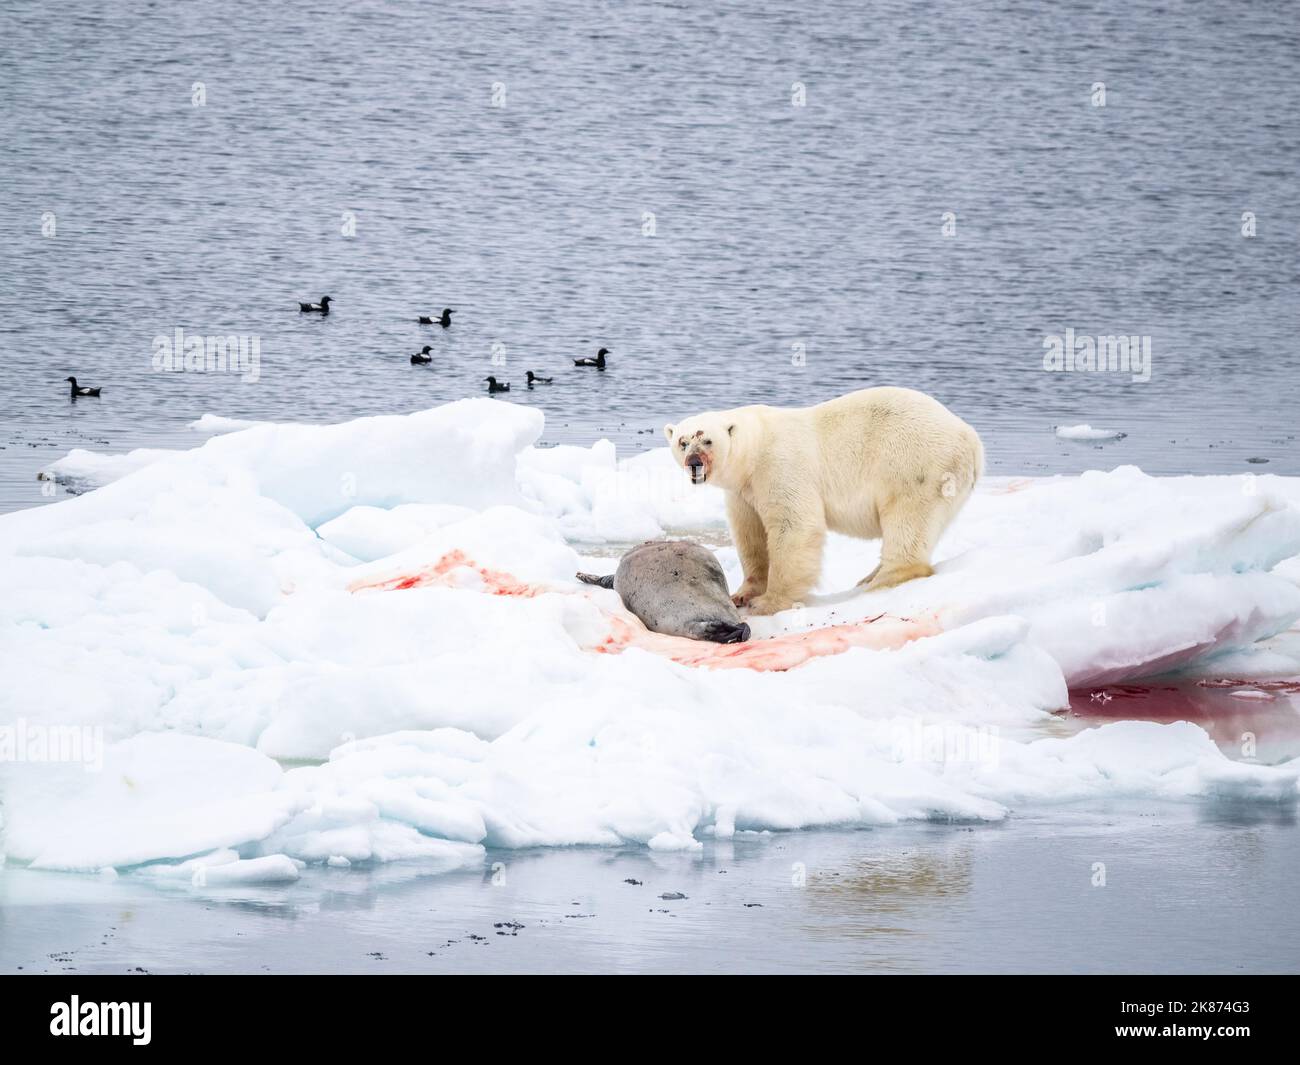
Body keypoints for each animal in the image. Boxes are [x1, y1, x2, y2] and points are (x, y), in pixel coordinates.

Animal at [665, 387, 977, 616]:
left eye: (707, 440)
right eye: (682, 441)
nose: (694, 463)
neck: (753, 450)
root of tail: (973, 441)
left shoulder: (779, 465)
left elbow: (794, 525)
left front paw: (767, 603)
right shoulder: (744, 490)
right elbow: (749, 534)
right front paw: (743, 594)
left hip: (915, 464)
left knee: (907, 518)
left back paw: (880, 581)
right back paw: (869, 577)